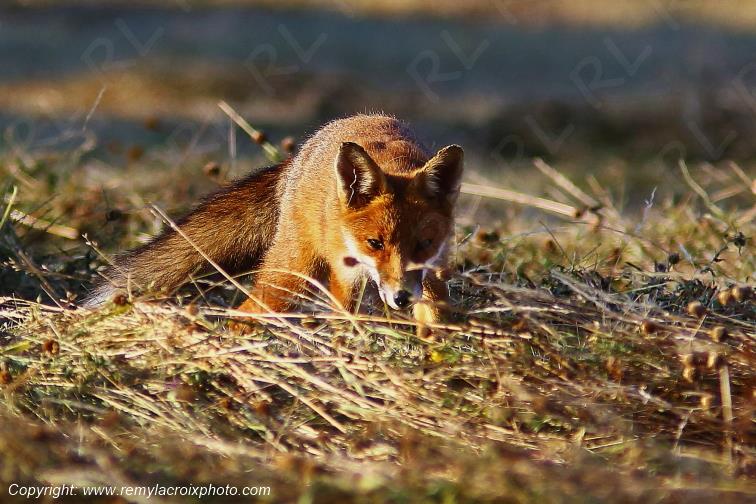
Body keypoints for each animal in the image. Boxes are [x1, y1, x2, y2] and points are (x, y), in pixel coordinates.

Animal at [86, 114, 464, 335]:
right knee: (245, 311)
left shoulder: (434, 267)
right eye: (375, 243)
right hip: (290, 278)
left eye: (424, 244)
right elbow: (347, 319)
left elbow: (435, 312)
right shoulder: (347, 276)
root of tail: (297, 158)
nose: (400, 298)